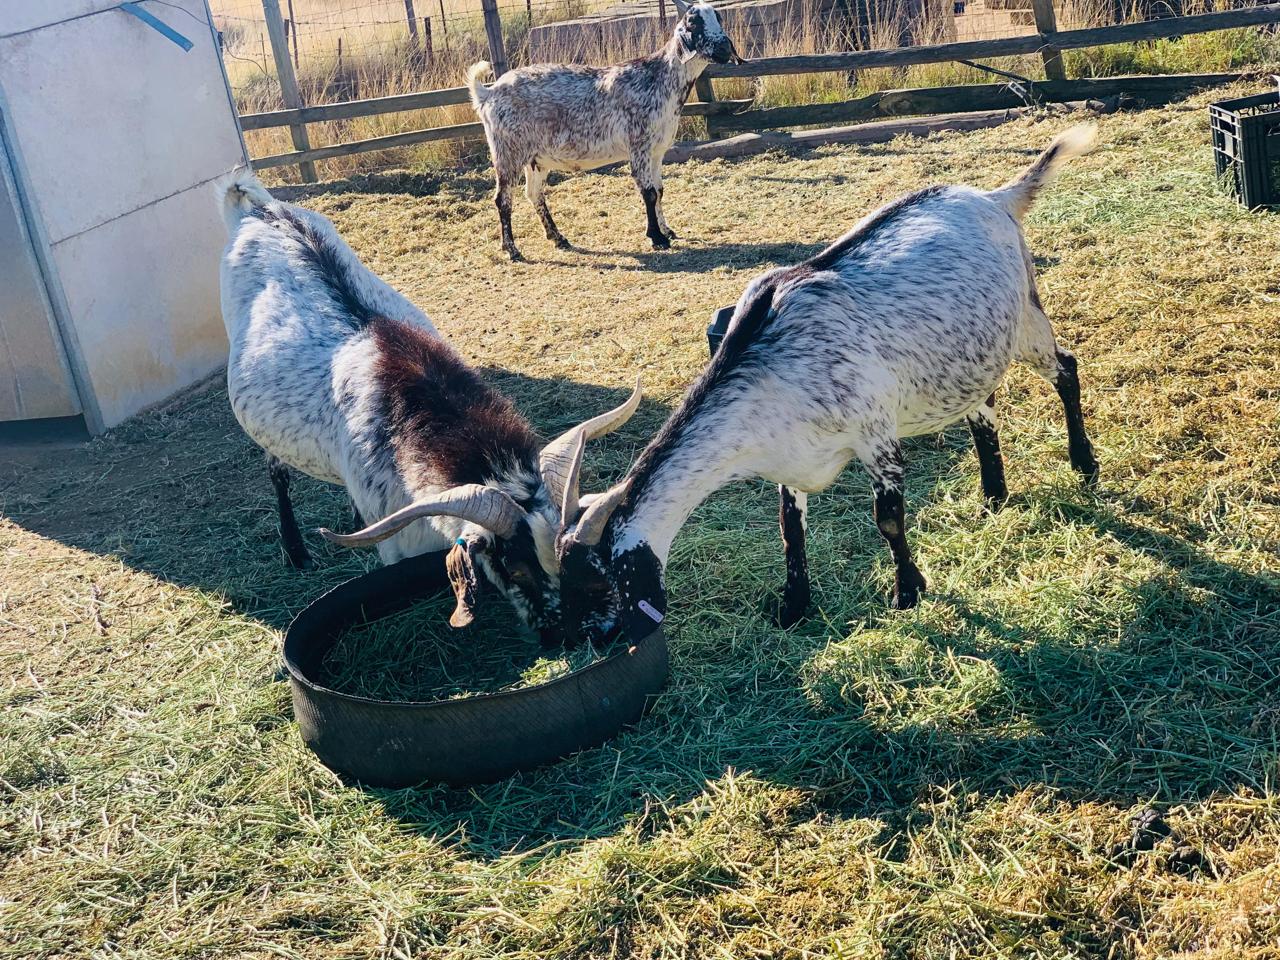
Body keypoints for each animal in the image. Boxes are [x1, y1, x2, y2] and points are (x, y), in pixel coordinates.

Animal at [217, 171, 650, 640]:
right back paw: (296, 551)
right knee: (276, 471)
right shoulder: (398, 543)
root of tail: (259, 209)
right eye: (516, 567)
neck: (404, 390)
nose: (600, 628)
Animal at [463, 0, 742, 261]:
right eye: (694, 22)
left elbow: (660, 190)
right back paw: (512, 250)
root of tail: (488, 93)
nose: (724, 48)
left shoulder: (657, 150)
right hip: (507, 151)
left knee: (533, 193)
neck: (659, 78)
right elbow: (649, 193)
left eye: (718, 18)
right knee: (503, 199)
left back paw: (559, 238)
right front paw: (657, 238)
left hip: (535, 158)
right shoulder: (638, 145)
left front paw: (668, 231)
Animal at [555, 122, 1105, 647]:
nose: (589, 639)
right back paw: (992, 495)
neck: (768, 364)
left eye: (596, 581)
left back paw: (1084, 464)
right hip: (968, 351)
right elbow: (789, 529)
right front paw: (794, 606)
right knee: (982, 406)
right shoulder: (792, 460)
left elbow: (888, 518)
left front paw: (908, 592)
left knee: (1067, 369)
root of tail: (994, 197)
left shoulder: (877, 436)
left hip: (1027, 321)